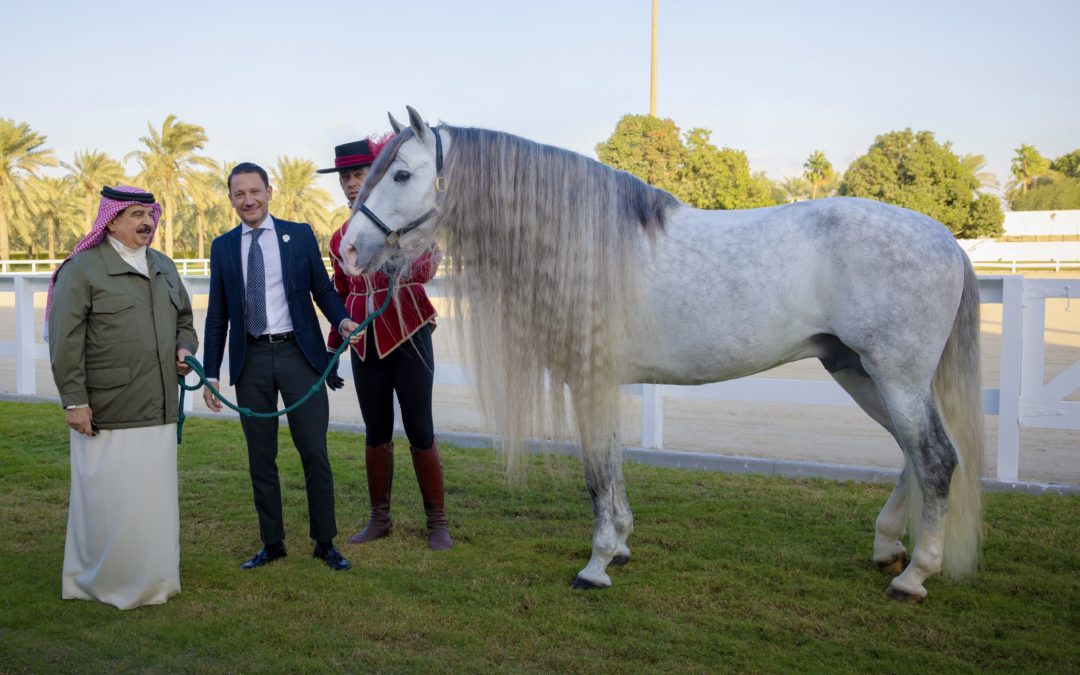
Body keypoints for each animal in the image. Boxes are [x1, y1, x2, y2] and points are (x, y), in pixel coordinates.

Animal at [339, 108, 989, 604]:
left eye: (402, 173)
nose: (346, 251)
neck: (581, 242)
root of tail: (944, 238)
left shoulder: (590, 380)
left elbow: (598, 472)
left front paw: (597, 564)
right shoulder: (596, 380)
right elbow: (611, 466)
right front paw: (621, 546)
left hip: (896, 378)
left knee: (935, 459)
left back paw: (914, 576)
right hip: (858, 372)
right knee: (912, 454)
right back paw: (887, 547)